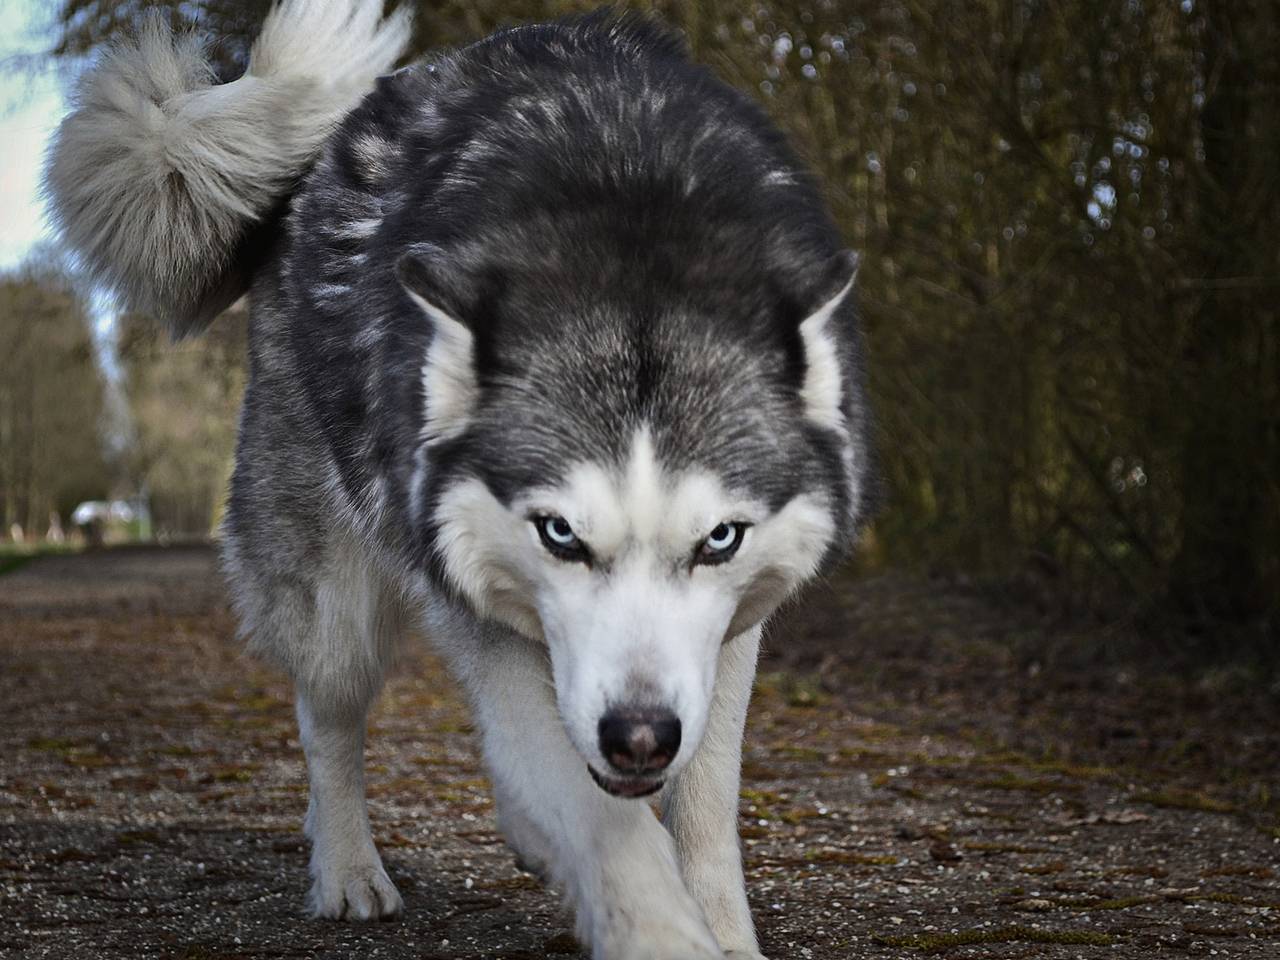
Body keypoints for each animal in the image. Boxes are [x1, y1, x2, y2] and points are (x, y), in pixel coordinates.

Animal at [47, 3, 870, 957]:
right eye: (559, 533)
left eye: (720, 539)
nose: (638, 739)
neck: (629, 219)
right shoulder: (490, 622)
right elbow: (608, 827)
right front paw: (659, 927)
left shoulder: (725, 642)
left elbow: (701, 803)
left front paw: (722, 929)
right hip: (334, 607)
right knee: (328, 723)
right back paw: (348, 871)